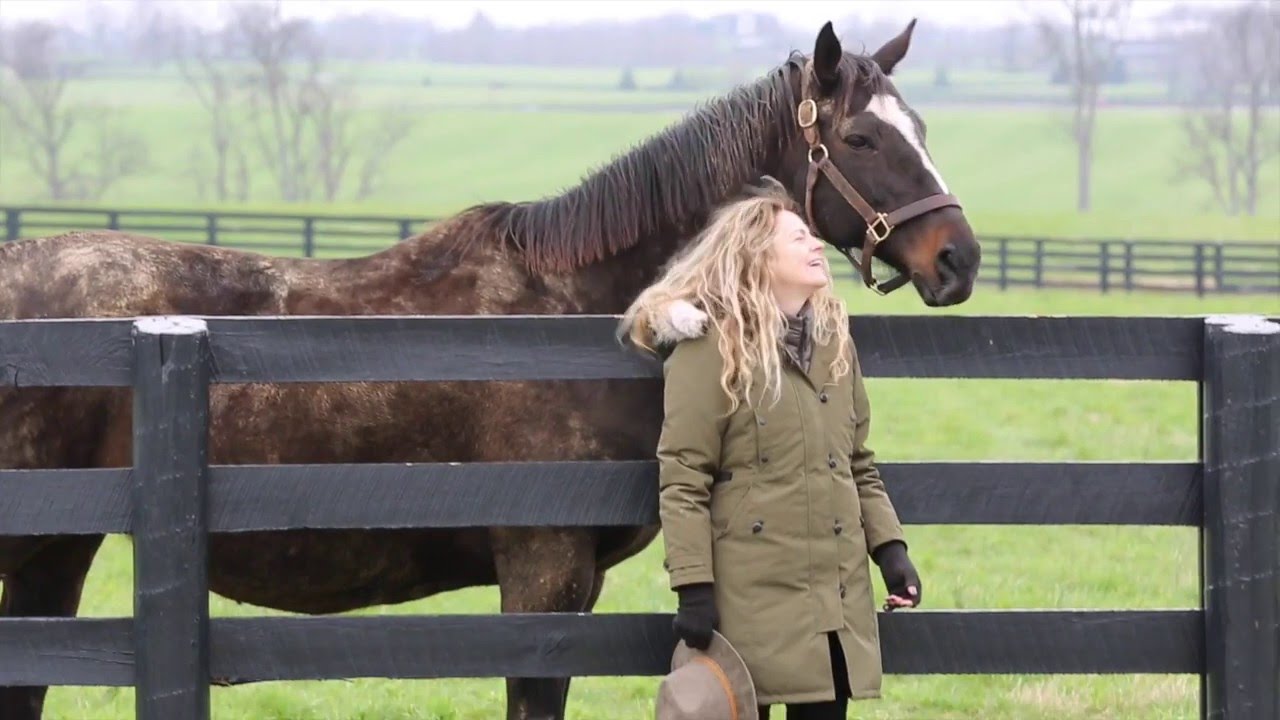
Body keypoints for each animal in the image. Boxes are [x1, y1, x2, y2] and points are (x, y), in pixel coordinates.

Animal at [0, 20, 979, 720]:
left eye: (925, 129)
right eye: (862, 139)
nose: (958, 257)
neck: (576, 308)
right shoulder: (543, 573)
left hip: (57, 552)